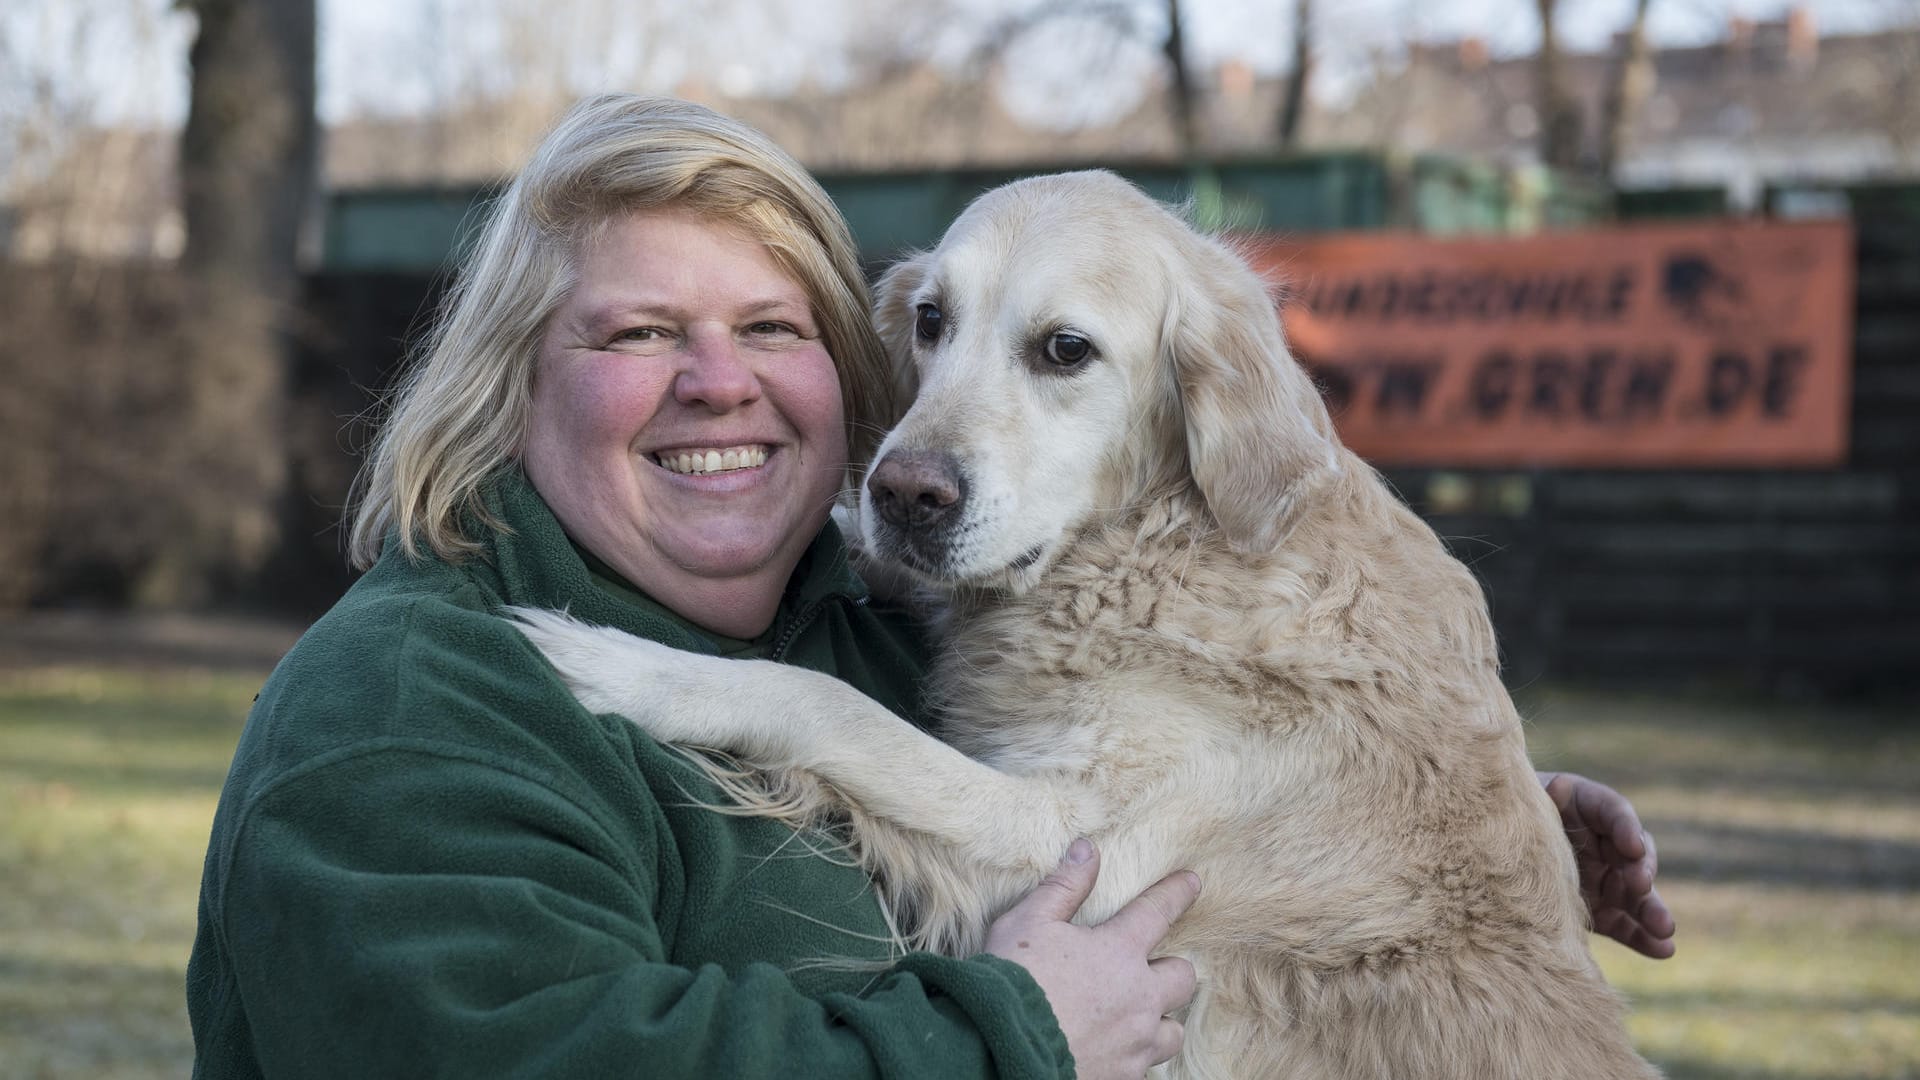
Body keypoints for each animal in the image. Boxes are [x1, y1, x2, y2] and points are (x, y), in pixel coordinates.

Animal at [518, 171, 1658, 1068]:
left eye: (1066, 349)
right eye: (931, 319)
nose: (902, 494)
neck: (1162, 548)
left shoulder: (1076, 850)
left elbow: (828, 703)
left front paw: (633, 669)